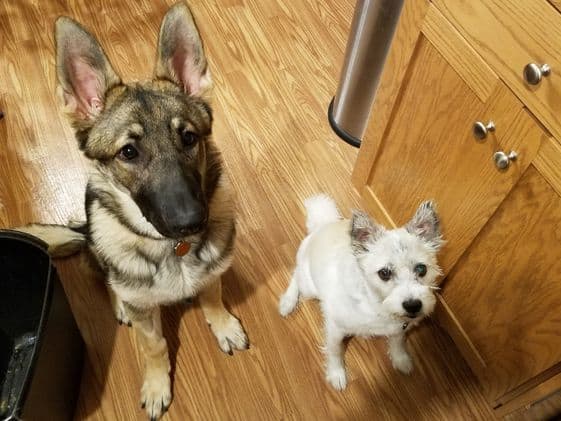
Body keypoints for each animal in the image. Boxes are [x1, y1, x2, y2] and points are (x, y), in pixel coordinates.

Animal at [18, 1, 246, 418]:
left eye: (188, 138)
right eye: (128, 152)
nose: (192, 223)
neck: (175, 251)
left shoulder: (213, 271)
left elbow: (212, 294)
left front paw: (221, 323)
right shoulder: (146, 317)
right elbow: (153, 345)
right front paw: (157, 384)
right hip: (99, 251)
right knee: (110, 280)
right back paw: (120, 304)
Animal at [278, 195, 442, 388]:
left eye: (422, 269)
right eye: (384, 273)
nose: (413, 305)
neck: (376, 305)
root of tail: (323, 225)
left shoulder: (399, 327)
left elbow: (397, 341)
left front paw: (400, 359)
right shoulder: (335, 329)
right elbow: (335, 351)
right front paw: (336, 373)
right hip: (309, 287)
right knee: (296, 275)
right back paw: (288, 302)